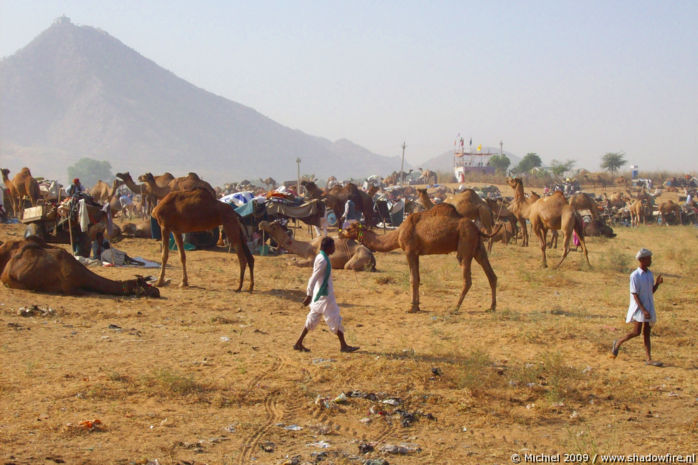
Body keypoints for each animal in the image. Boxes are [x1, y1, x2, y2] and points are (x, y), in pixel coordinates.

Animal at [340, 202, 498, 312]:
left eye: (349, 228)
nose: (340, 234)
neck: (398, 233)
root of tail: (477, 228)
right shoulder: (416, 253)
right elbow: (418, 278)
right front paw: (417, 306)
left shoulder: (409, 251)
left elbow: (413, 279)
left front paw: (412, 308)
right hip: (478, 247)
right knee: (492, 275)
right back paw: (491, 307)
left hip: (465, 243)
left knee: (467, 278)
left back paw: (455, 308)